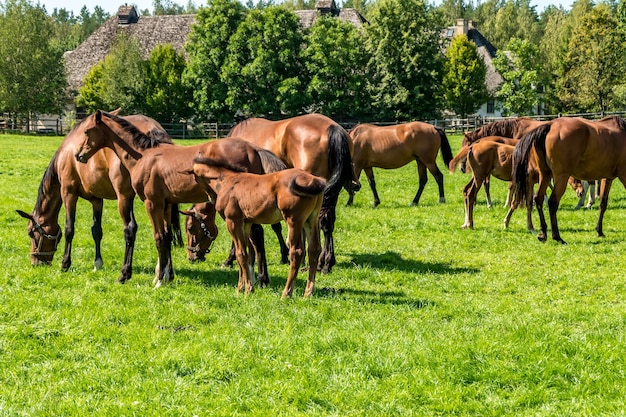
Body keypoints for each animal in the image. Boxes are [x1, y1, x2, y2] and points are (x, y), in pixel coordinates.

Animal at [15, 109, 180, 282]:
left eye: (31, 232)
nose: (36, 262)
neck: (65, 155)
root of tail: (154, 130)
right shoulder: (96, 200)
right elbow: (96, 230)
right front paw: (97, 263)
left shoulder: (68, 193)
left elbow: (69, 229)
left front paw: (65, 263)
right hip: (161, 201)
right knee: (166, 232)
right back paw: (166, 273)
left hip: (126, 197)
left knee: (131, 229)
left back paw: (129, 272)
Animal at [73, 109, 286, 286]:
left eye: (87, 131)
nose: (78, 155)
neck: (143, 156)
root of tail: (254, 149)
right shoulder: (166, 204)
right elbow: (167, 236)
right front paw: (167, 275)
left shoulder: (152, 203)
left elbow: (159, 238)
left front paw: (157, 280)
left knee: (256, 235)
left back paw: (260, 278)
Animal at [191, 155, 326, 296]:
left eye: (191, 228)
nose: (210, 198)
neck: (228, 181)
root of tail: (313, 180)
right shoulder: (245, 224)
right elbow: (247, 255)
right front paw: (241, 288)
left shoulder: (232, 221)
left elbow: (240, 253)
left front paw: (248, 289)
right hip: (311, 220)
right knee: (314, 250)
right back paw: (308, 293)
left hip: (294, 221)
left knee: (297, 251)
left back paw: (286, 293)